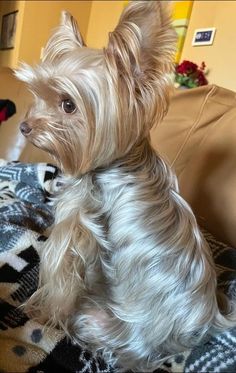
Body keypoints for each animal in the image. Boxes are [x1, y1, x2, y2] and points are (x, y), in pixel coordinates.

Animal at [15, 2, 236, 370]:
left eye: (68, 105)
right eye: (38, 95)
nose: (24, 126)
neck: (115, 163)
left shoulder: (74, 231)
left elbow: (59, 283)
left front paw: (41, 314)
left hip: (98, 321)